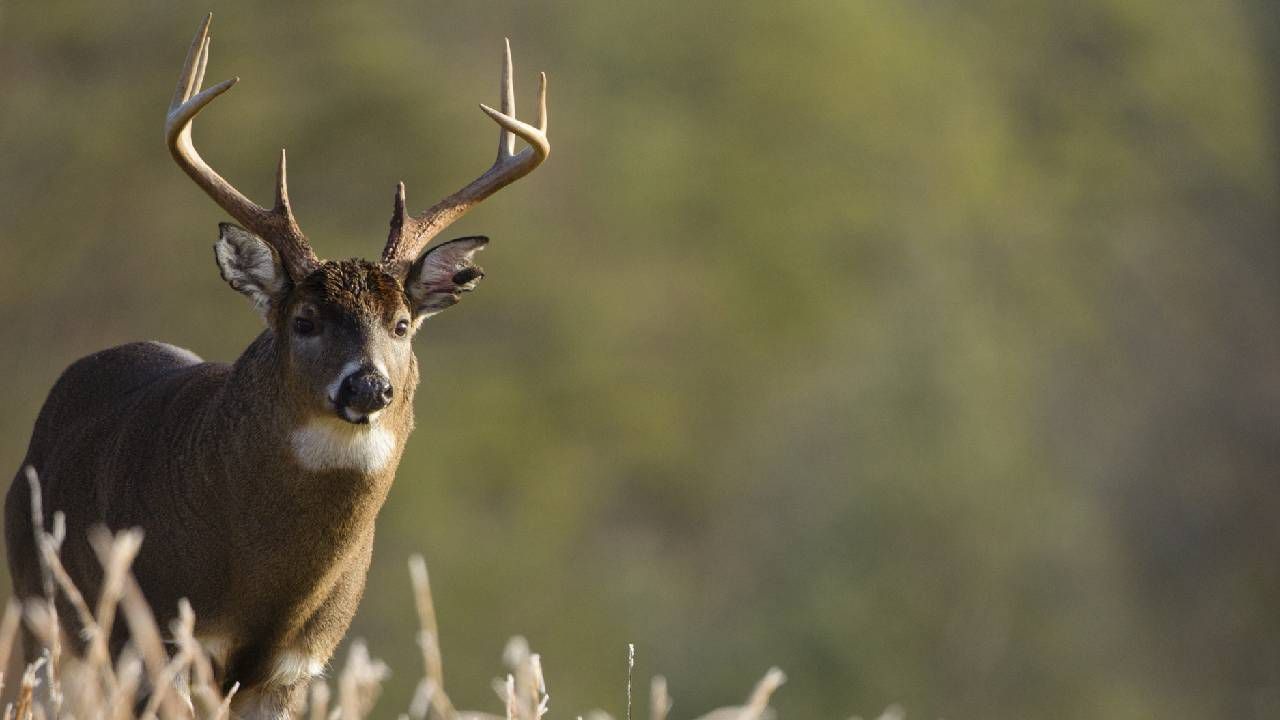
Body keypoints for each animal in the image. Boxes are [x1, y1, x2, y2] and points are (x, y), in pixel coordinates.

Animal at [3, 14, 550, 712]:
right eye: (304, 320)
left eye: (401, 325)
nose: (369, 385)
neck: (264, 584)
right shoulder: (160, 637)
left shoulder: (294, 667)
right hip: (46, 618)